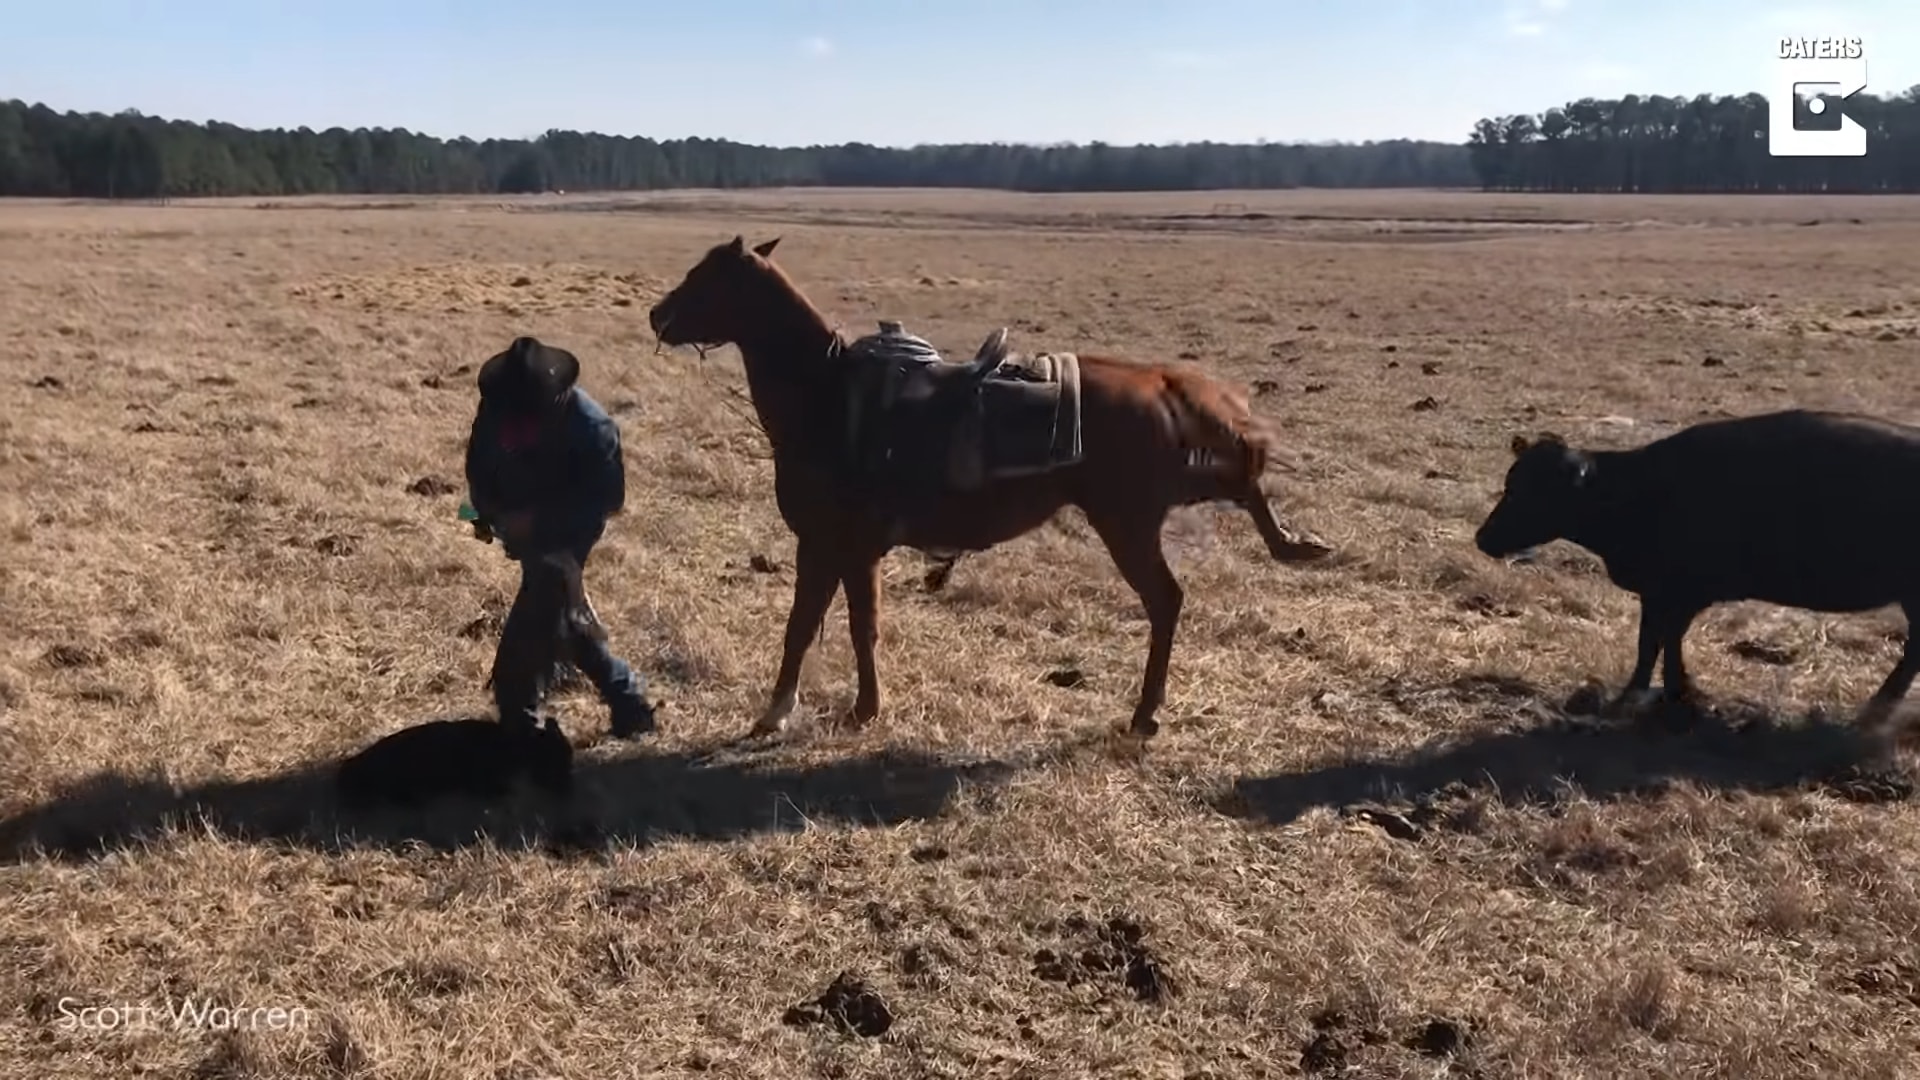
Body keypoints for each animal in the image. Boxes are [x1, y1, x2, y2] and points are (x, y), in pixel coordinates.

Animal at [652, 233, 1328, 737]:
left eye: (706, 277)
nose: (658, 314)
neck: (828, 397)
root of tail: (1156, 384)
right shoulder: (830, 547)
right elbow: (819, 624)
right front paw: (801, 710)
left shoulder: (841, 546)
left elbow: (843, 626)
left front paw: (838, 711)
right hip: (1156, 498)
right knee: (1238, 485)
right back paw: (1296, 545)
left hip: (1129, 521)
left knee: (1173, 589)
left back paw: (1144, 713)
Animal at [1474, 407, 1920, 726]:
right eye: (1511, 483)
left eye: (1530, 491)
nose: (1482, 538)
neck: (1636, 490)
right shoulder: (1663, 594)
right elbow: (1660, 641)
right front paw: (1673, 692)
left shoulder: (1675, 592)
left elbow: (1654, 642)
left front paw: (1647, 696)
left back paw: (1875, 711)